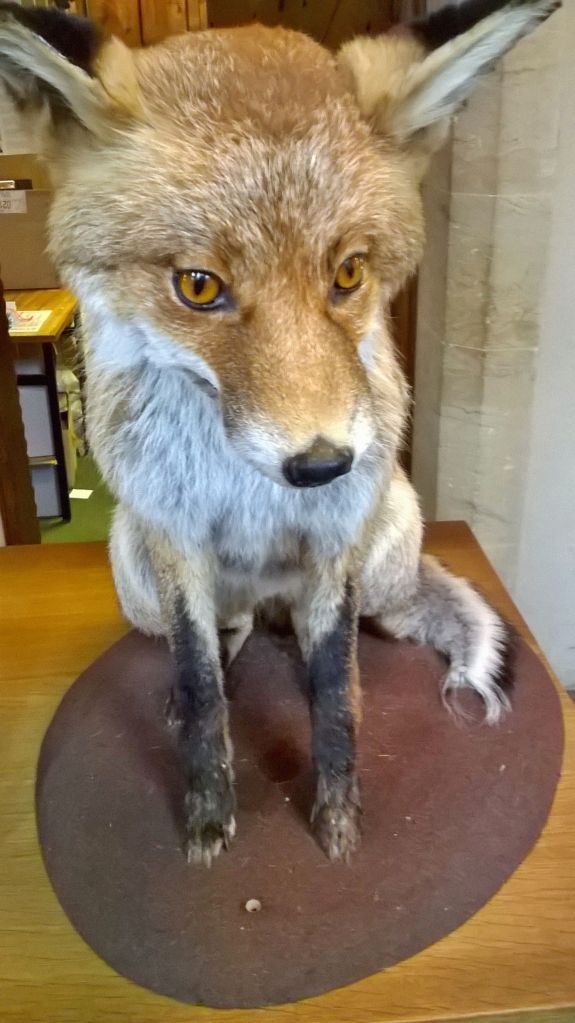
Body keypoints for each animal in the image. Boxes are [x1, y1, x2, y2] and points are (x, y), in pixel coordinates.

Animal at [0, 0, 559, 865]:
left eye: (349, 273)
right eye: (198, 286)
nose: (323, 463)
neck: (243, 486)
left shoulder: (333, 538)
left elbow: (333, 694)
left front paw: (337, 813)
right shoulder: (175, 539)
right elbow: (201, 683)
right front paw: (207, 810)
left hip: (384, 540)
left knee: (373, 622)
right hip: (135, 570)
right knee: (226, 631)